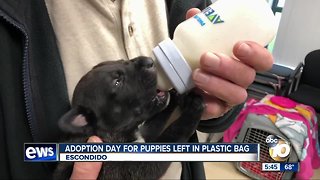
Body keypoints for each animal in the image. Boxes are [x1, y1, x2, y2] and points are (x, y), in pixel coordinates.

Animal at [53, 56, 204, 180]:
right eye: (117, 82)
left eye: (121, 60)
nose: (149, 61)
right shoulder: (136, 168)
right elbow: (172, 134)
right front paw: (192, 110)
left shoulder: (145, 133)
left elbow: (157, 121)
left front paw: (175, 94)